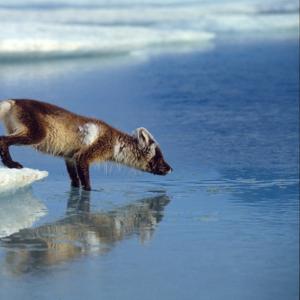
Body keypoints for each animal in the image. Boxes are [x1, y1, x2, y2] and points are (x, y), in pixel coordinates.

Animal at [0, 99, 172, 191]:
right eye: (159, 157)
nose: (171, 169)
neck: (116, 143)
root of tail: (12, 102)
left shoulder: (70, 157)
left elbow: (75, 180)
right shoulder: (85, 156)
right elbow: (86, 183)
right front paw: (91, 191)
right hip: (36, 134)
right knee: (3, 139)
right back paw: (11, 164)